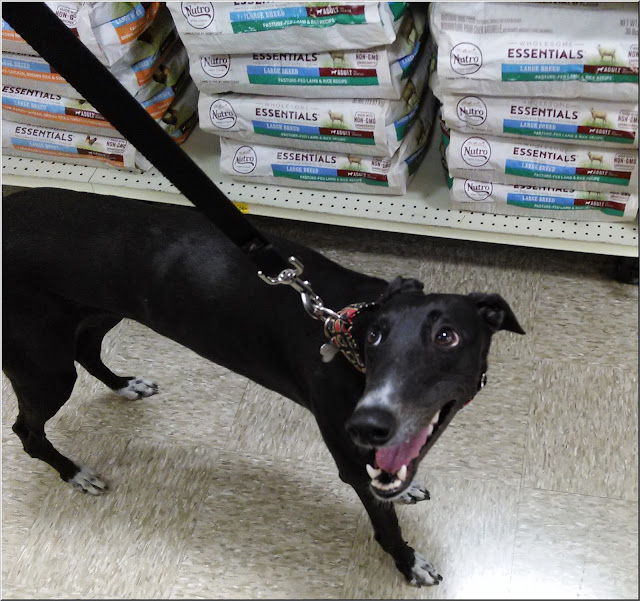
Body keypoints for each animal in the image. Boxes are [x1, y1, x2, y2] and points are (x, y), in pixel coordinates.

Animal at [3, 186, 524, 580]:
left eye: (446, 336)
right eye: (376, 337)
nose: (369, 425)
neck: (346, 333)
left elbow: (394, 478)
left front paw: (407, 490)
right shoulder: (352, 462)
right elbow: (385, 523)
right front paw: (409, 563)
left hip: (96, 313)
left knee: (87, 350)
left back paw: (125, 385)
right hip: (44, 367)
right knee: (26, 431)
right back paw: (75, 473)